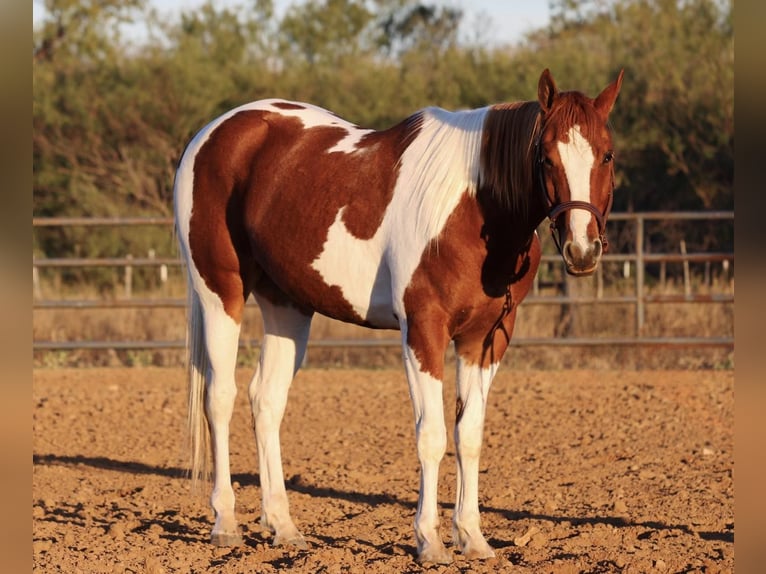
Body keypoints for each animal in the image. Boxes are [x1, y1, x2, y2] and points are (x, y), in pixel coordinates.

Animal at [174, 68, 624, 568]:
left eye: (607, 154)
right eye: (545, 157)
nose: (582, 250)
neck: (473, 206)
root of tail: (214, 133)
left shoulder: (485, 338)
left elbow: (469, 435)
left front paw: (473, 538)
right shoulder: (423, 330)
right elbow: (432, 435)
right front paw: (430, 541)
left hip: (286, 306)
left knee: (266, 401)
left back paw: (283, 527)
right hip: (220, 294)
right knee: (220, 397)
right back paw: (225, 523)